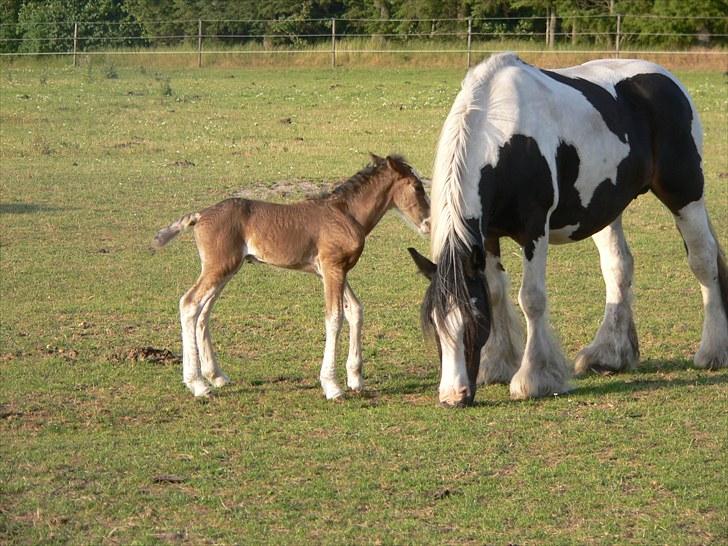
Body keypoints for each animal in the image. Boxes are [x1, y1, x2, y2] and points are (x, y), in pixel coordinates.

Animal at [151, 155, 430, 398]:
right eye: (417, 186)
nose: (428, 224)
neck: (345, 213)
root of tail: (200, 215)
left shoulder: (334, 271)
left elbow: (356, 311)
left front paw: (356, 379)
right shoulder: (332, 268)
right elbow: (334, 318)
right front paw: (332, 386)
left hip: (227, 269)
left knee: (203, 312)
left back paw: (216, 376)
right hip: (219, 267)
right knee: (189, 304)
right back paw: (198, 385)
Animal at [410, 53, 728, 406]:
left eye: (475, 322)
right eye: (435, 323)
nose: (454, 396)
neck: (505, 136)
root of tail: (667, 79)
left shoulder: (534, 229)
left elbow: (531, 298)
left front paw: (534, 378)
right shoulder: (488, 235)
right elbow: (494, 292)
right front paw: (498, 365)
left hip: (685, 194)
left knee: (703, 260)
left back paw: (713, 351)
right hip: (607, 208)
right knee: (618, 267)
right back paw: (609, 355)